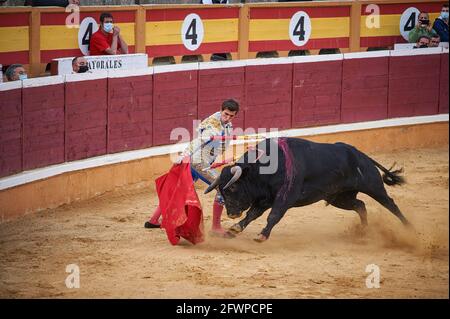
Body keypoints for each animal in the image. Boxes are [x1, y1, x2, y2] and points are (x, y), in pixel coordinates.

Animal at [205, 137, 412, 242]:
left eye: (233, 187)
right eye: (221, 191)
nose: (231, 213)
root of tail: (362, 155)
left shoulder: (285, 197)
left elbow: (274, 215)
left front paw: (262, 235)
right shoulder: (265, 199)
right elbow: (252, 214)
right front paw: (234, 229)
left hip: (372, 185)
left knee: (391, 205)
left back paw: (410, 229)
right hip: (339, 197)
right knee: (360, 205)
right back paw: (363, 231)